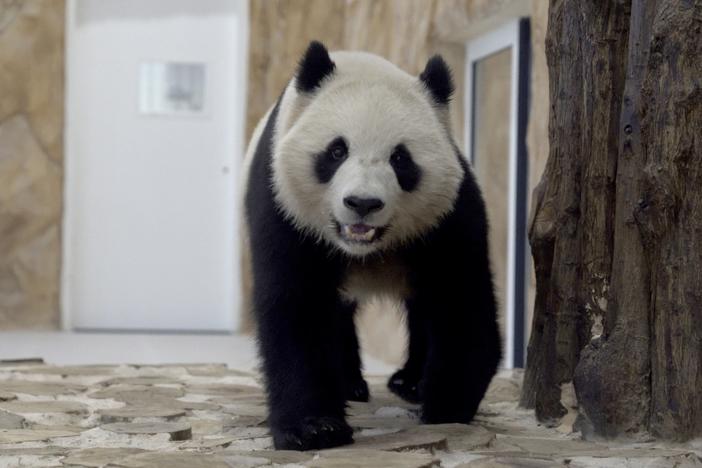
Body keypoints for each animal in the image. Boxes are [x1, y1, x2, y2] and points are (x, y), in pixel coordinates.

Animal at [245, 42, 504, 452]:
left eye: (400, 158)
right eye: (336, 151)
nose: (362, 203)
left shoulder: (448, 217)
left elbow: (461, 300)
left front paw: (446, 405)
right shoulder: (284, 207)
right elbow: (297, 307)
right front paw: (313, 428)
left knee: (421, 307)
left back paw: (408, 382)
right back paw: (351, 384)